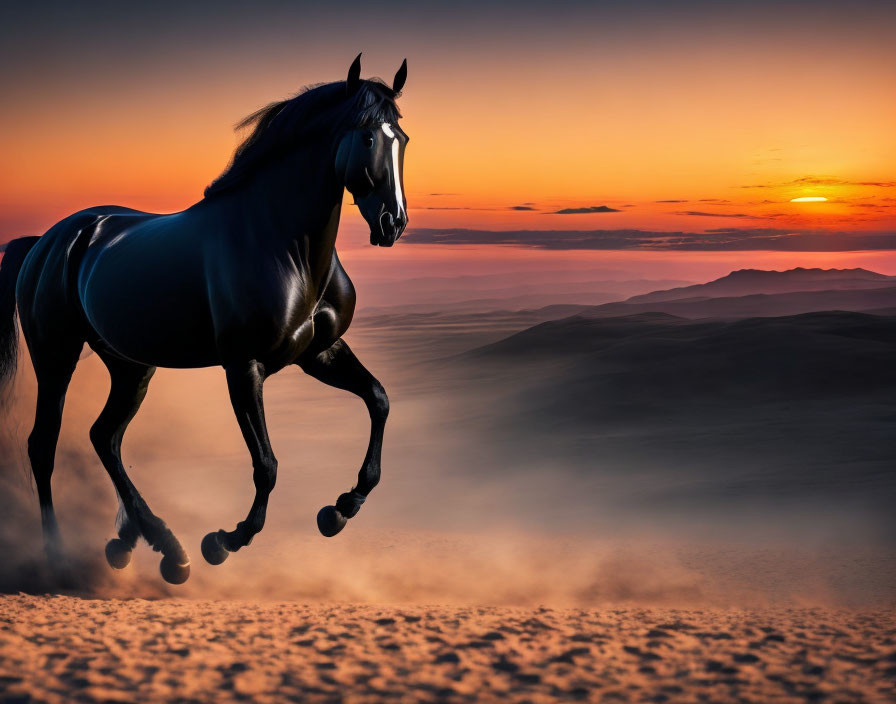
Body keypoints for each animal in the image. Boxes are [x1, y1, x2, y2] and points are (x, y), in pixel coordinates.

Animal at [0, 53, 412, 584]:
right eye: (366, 137)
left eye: (402, 139)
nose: (393, 224)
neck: (281, 244)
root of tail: (49, 240)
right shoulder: (244, 367)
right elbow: (267, 465)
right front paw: (223, 542)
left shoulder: (320, 353)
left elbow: (378, 400)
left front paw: (339, 509)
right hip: (56, 356)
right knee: (44, 445)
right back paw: (64, 555)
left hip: (131, 366)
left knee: (104, 437)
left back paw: (152, 546)